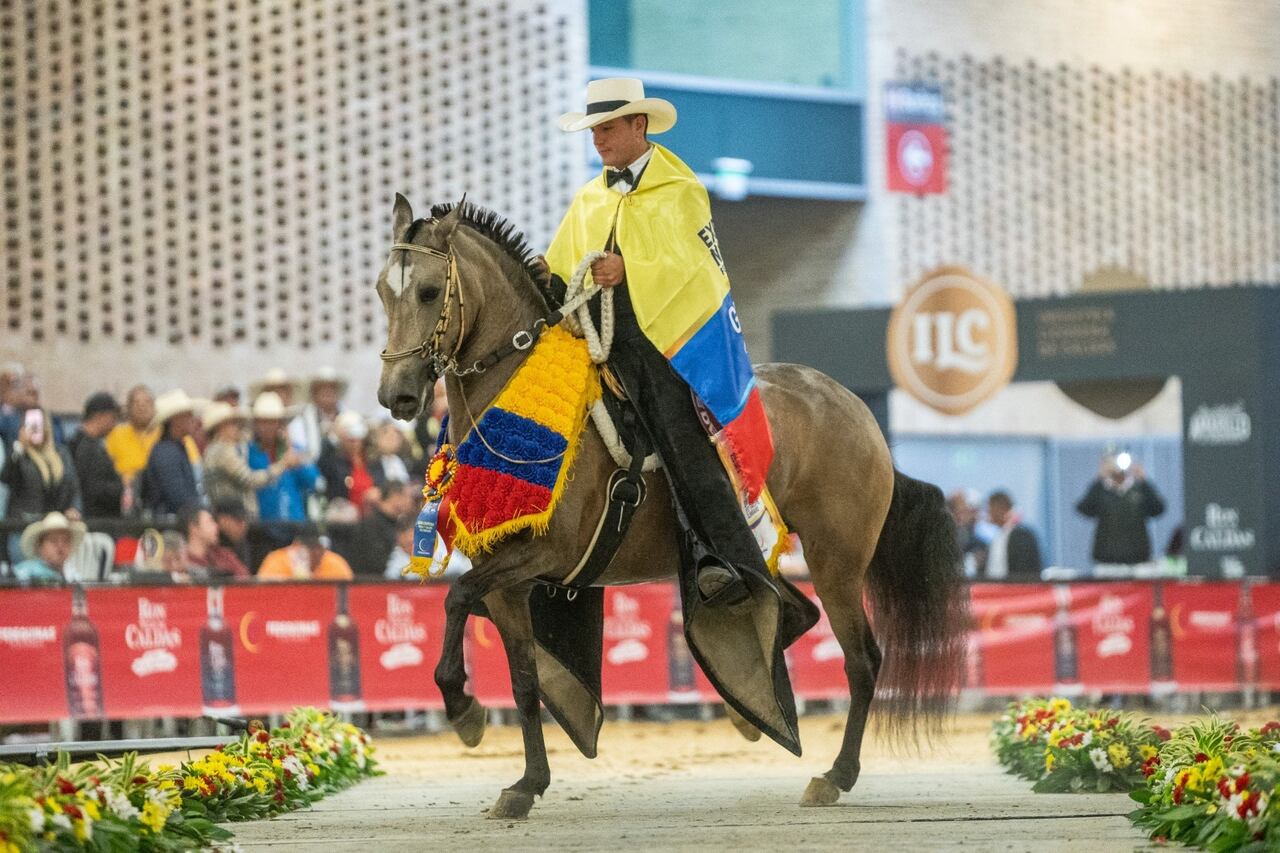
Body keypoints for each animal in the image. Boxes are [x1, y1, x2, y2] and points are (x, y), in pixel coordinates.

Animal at [375, 195, 968, 820]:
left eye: (429, 292)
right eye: (382, 291)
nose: (397, 394)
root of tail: (853, 407)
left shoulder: (545, 553)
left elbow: (456, 597)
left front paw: (463, 710)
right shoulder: (508, 579)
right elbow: (523, 677)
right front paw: (526, 782)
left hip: (837, 561)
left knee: (861, 660)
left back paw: (835, 774)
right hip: (763, 556)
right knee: (796, 613)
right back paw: (747, 710)